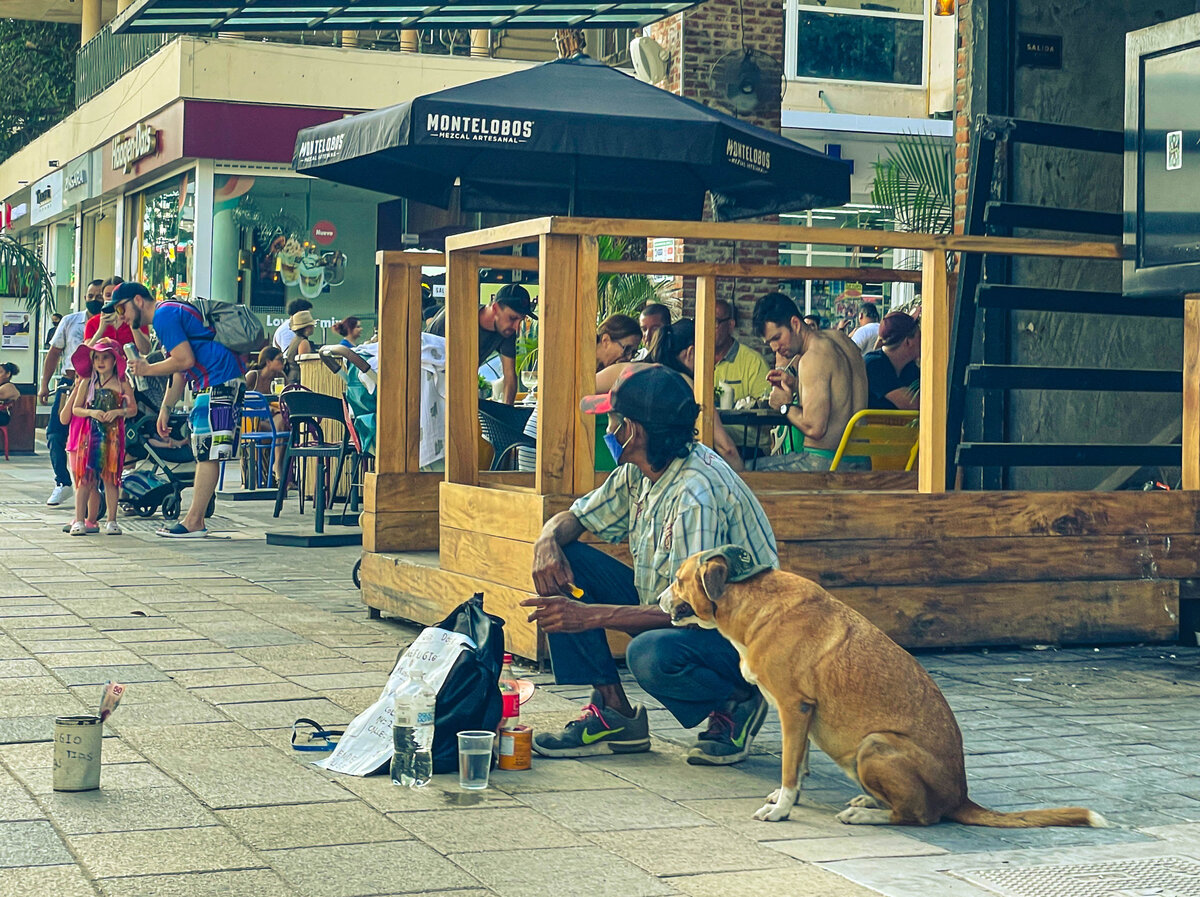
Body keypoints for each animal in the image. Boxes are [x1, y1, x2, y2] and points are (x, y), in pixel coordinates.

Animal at [657, 556, 1104, 829]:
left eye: (677, 580)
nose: (658, 598)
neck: (750, 602)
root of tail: (960, 797)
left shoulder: (793, 708)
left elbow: (789, 769)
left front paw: (781, 810)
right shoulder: (800, 716)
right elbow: (798, 765)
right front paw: (789, 799)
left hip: (874, 744)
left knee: (918, 816)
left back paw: (867, 815)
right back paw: (869, 802)